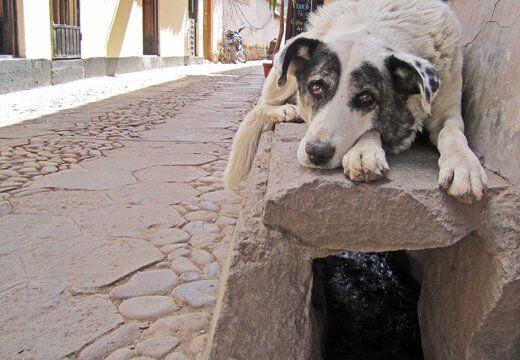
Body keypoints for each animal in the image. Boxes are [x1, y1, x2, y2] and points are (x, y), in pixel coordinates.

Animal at [224, 0, 488, 202]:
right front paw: (365, 152)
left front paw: (465, 166)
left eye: (366, 98)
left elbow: (452, 132)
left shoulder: (447, 110)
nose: (317, 153)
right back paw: (285, 111)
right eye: (316, 87)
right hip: (284, 72)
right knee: (260, 106)